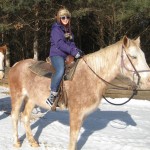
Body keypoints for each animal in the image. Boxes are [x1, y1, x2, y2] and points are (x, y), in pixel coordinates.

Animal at [7, 35, 150, 149]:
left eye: (143, 56)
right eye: (133, 57)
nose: (148, 81)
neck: (90, 77)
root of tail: (16, 64)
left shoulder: (83, 115)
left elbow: (75, 139)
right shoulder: (76, 113)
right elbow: (73, 138)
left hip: (32, 99)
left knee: (25, 117)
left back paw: (32, 141)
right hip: (18, 96)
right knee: (14, 116)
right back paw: (16, 142)